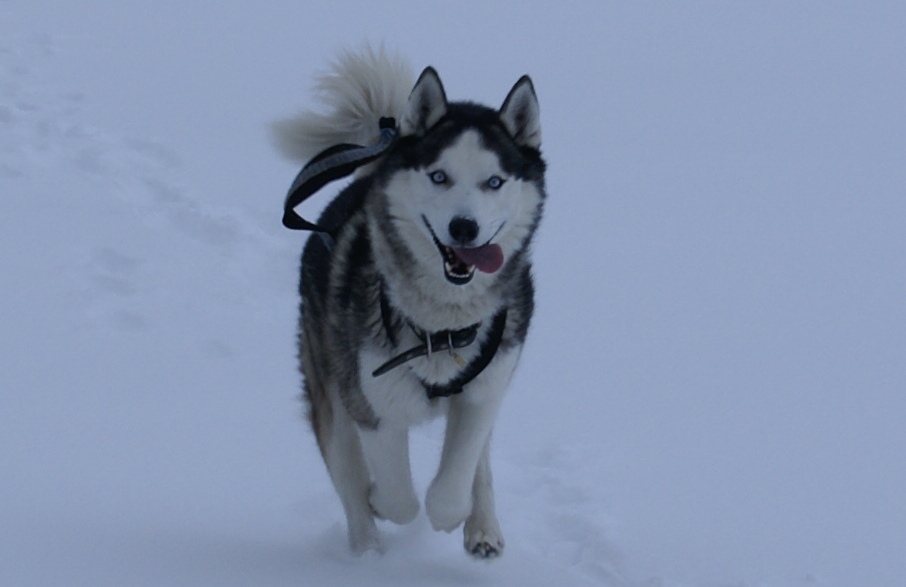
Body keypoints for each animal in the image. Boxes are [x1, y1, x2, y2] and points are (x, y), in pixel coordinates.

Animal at [272, 48, 544, 560]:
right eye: (439, 176)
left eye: (494, 182)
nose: (464, 228)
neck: (442, 327)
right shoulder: (371, 400)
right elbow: (398, 497)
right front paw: (381, 502)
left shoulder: (485, 390)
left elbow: (452, 483)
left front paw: (455, 515)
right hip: (329, 384)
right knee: (347, 475)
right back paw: (365, 551)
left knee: (479, 462)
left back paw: (482, 527)